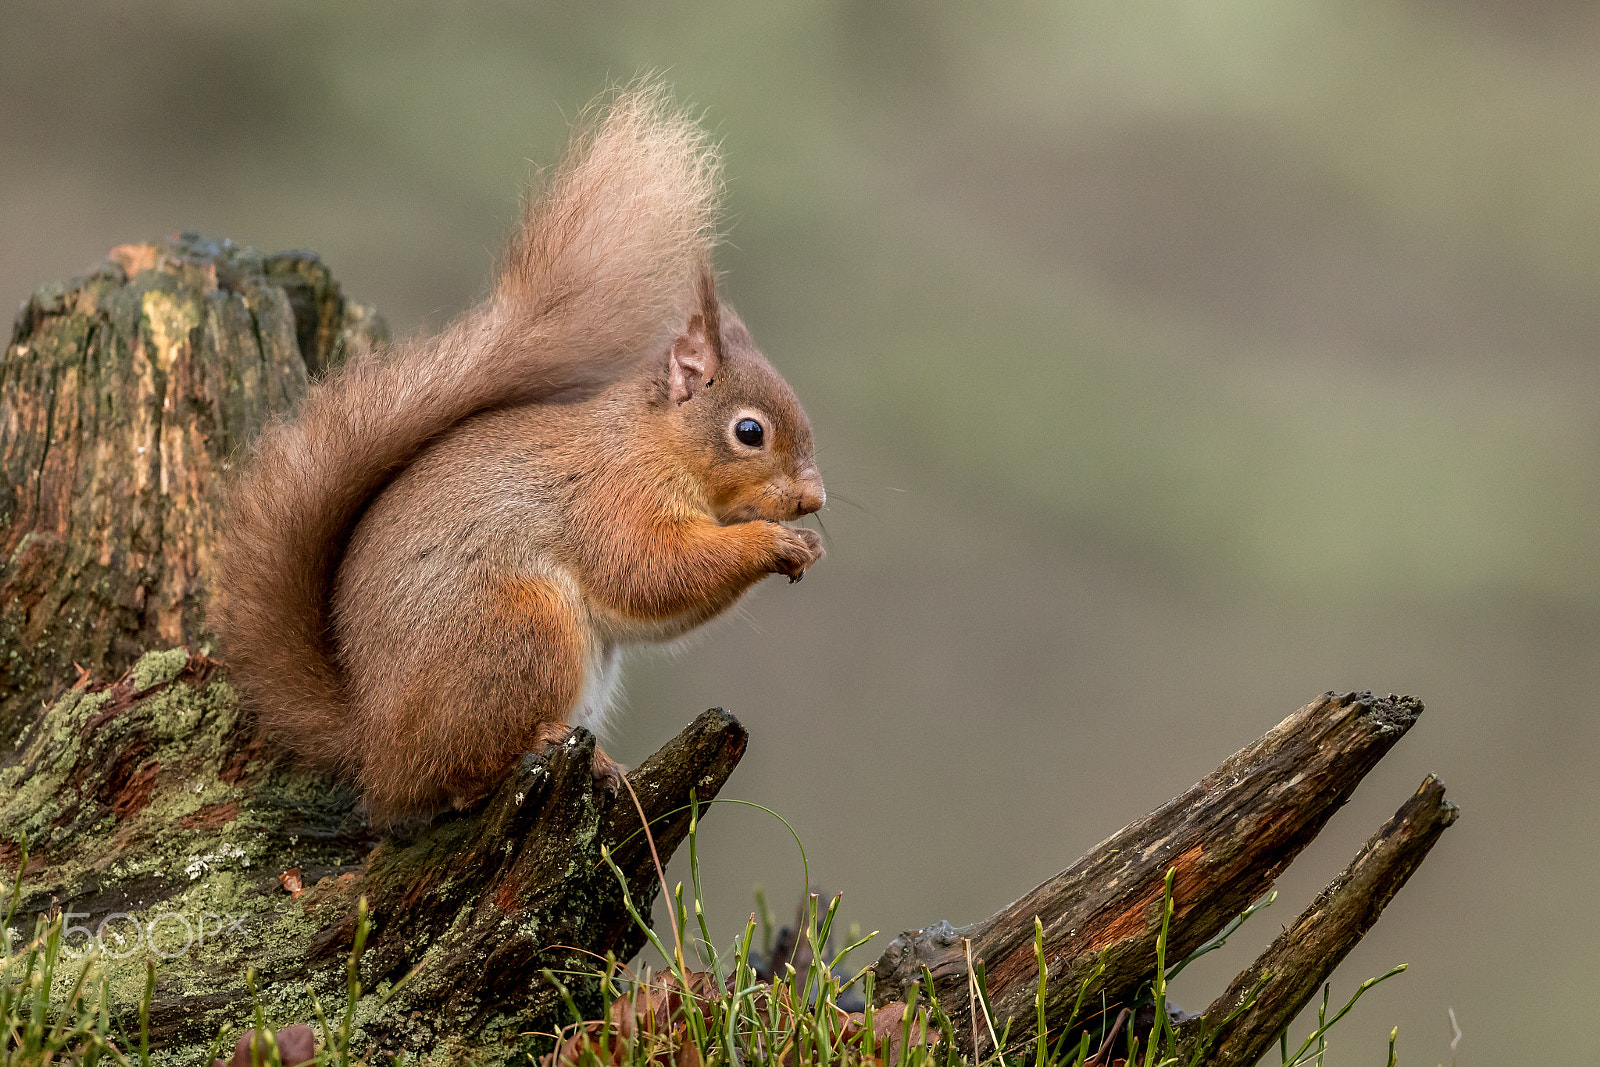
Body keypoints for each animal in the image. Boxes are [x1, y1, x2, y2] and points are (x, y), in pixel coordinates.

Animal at [211, 84, 825, 826]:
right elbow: (649, 569)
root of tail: (374, 745)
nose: (815, 497)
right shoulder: (609, 497)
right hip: (522, 629)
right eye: (750, 432)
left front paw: (805, 543)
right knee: (456, 774)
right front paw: (773, 541)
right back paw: (550, 749)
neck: (652, 442)